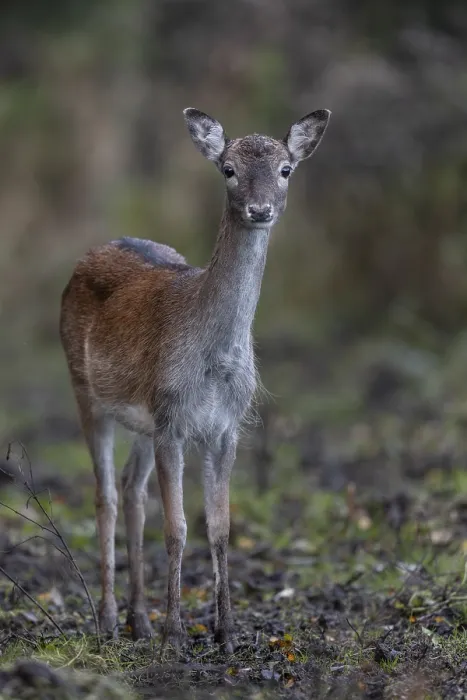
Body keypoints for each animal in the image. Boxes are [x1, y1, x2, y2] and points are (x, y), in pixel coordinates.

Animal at [59, 107, 331, 653]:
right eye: (228, 169)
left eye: (286, 169)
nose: (259, 209)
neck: (214, 364)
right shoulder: (172, 421)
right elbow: (178, 527)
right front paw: (177, 634)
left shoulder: (225, 427)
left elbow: (220, 526)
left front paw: (226, 632)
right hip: (86, 392)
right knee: (106, 495)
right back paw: (108, 621)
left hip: (141, 419)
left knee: (132, 490)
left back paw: (138, 621)